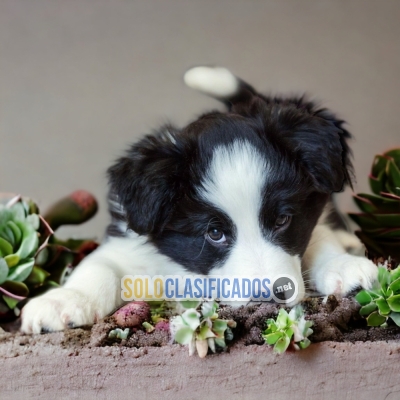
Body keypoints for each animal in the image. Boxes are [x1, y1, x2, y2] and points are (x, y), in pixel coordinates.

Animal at [21, 66, 378, 334]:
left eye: (282, 219)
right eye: (214, 233)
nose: (268, 297)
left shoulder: (310, 218)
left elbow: (318, 237)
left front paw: (342, 265)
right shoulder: (130, 245)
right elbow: (99, 267)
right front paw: (64, 300)